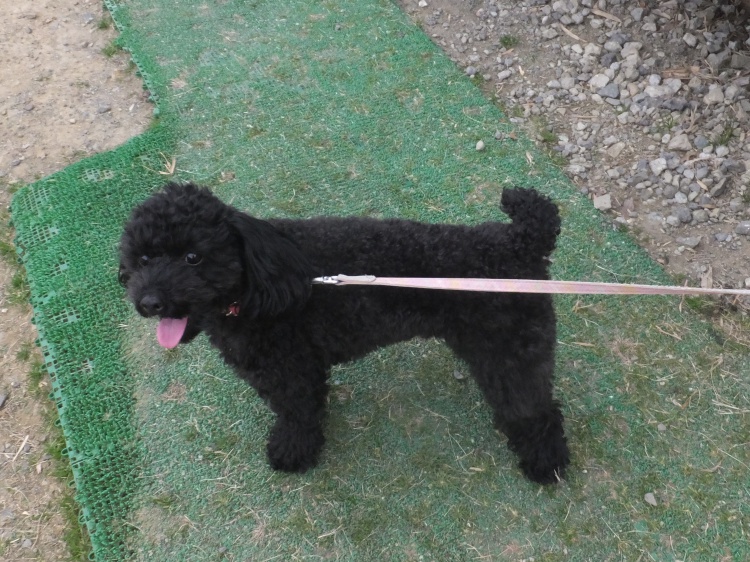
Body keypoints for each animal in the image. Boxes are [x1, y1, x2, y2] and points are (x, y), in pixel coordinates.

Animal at [119, 182, 569, 484]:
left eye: (194, 257)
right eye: (142, 258)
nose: (149, 302)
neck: (257, 285)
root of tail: (521, 241)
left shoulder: (291, 370)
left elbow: (297, 414)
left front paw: (292, 452)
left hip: (510, 352)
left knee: (535, 410)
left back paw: (545, 464)